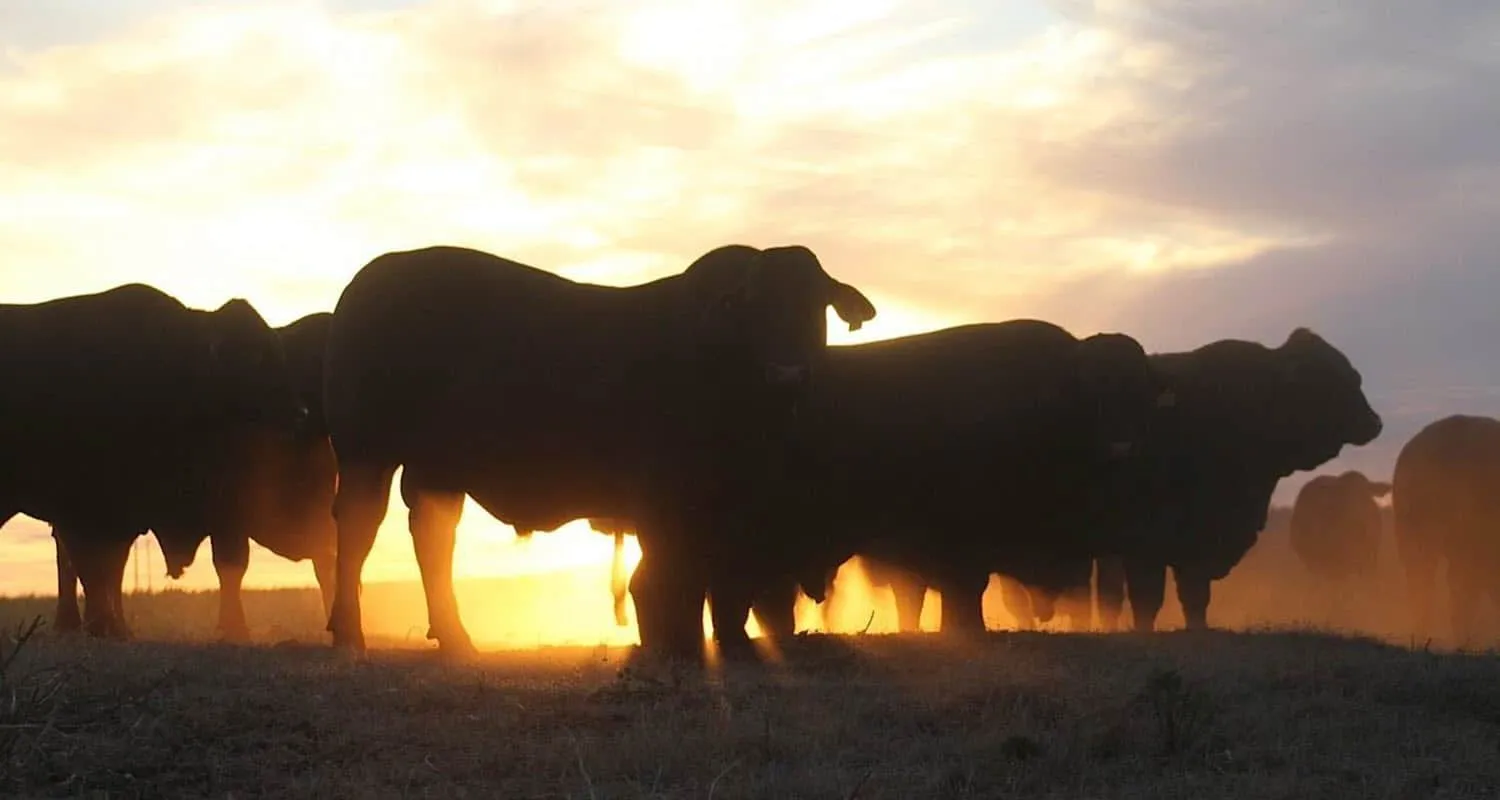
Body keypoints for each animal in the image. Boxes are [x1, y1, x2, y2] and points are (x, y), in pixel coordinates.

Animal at [321, 244, 876, 660]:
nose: (788, 374)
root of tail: (369, 280)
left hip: (437, 469)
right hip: (366, 450)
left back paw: (455, 638)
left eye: (816, 306)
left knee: (432, 537)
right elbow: (665, 579)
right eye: (754, 306)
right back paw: (350, 634)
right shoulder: (665, 500)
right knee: (359, 529)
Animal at [702, 319, 1175, 658]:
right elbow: (964, 591)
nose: (1121, 448)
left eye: (1141, 398)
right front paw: (965, 631)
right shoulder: (961, 543)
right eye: (1093, 398)